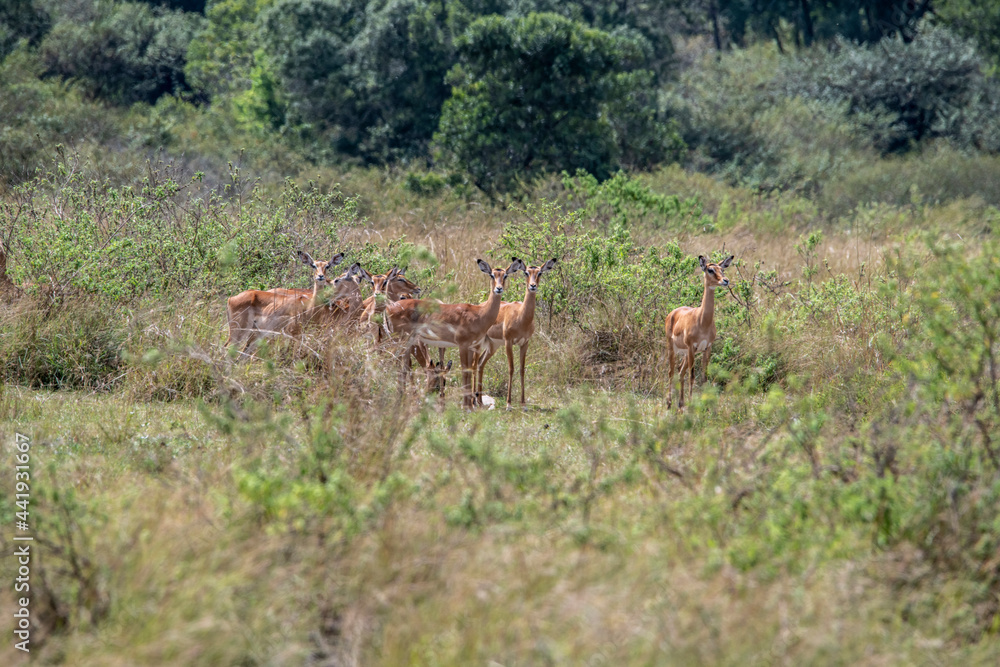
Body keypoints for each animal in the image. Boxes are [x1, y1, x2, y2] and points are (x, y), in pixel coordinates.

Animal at [225, 251, 362, 356]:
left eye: (327, 266)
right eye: (313, 265)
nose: (320, 277)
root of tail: (231, 299)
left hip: (255, 335)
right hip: (239, 332)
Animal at [383, 258, 524, 409]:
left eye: (505, 275)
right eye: (492, 275)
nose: (499, 289)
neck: (479, 313)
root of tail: (389, 307)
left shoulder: (471, 346)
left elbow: (469, 370)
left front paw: (470, 406)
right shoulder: (462, 345)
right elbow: (464, 370)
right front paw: (466, 406)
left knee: (402, 364)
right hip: (398, 340)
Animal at [473, 258, 558, 407]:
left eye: (540, 273)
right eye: (526, 272)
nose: (533, 286)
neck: (521, 317)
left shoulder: (524, 343)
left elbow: (522, 369)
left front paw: (523, 404)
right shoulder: (509, 342)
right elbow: (511, 368)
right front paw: (509, 404)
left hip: (492, 346)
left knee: (480, 363)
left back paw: (480, 400)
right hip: (480, 343)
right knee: (473, 364)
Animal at [665, 254, 734, 410]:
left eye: (722, 269)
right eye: (710, 269)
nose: (725, 280)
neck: (703, 321)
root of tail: (672, 312)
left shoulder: (707, 348)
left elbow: (704, 377)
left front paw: (704, 405)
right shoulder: (692, 347)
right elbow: (692, 376)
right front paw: (692, 404)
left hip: (686, 354)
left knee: (680, 371)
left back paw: (680, 404)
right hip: (673, 348)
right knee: (671, 372)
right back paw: (669, 403)